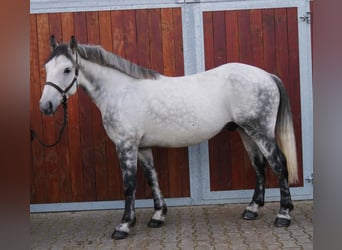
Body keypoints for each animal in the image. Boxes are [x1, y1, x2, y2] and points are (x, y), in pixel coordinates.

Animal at [38, 36, 298, 239]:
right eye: (47, 68)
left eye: (67, 70)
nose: (45, 106)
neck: (120, 91)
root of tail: (267, 75)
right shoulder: (142, 147)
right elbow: (152, 177)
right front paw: (157, 215)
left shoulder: (126, 145)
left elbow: (129, 185)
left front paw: (124, 225)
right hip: (246, 132)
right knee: (259, 166)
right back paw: (252, 210)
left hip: (260, 132)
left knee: (278, 164)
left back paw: (283, 214)